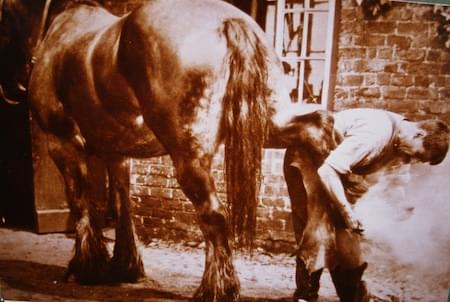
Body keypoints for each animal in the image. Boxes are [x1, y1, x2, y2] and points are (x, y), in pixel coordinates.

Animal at [0, 0, 332, 300]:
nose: (13, 87)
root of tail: (229, 21)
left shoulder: (62, 143)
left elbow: (81, 201)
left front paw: (86, 266)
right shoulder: (116, 153)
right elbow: (122, 204)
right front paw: (124, 266)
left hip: (189, 156)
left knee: (214, 214)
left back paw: (217, 289)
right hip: (269, 123)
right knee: (317, 131)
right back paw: (309, 275)